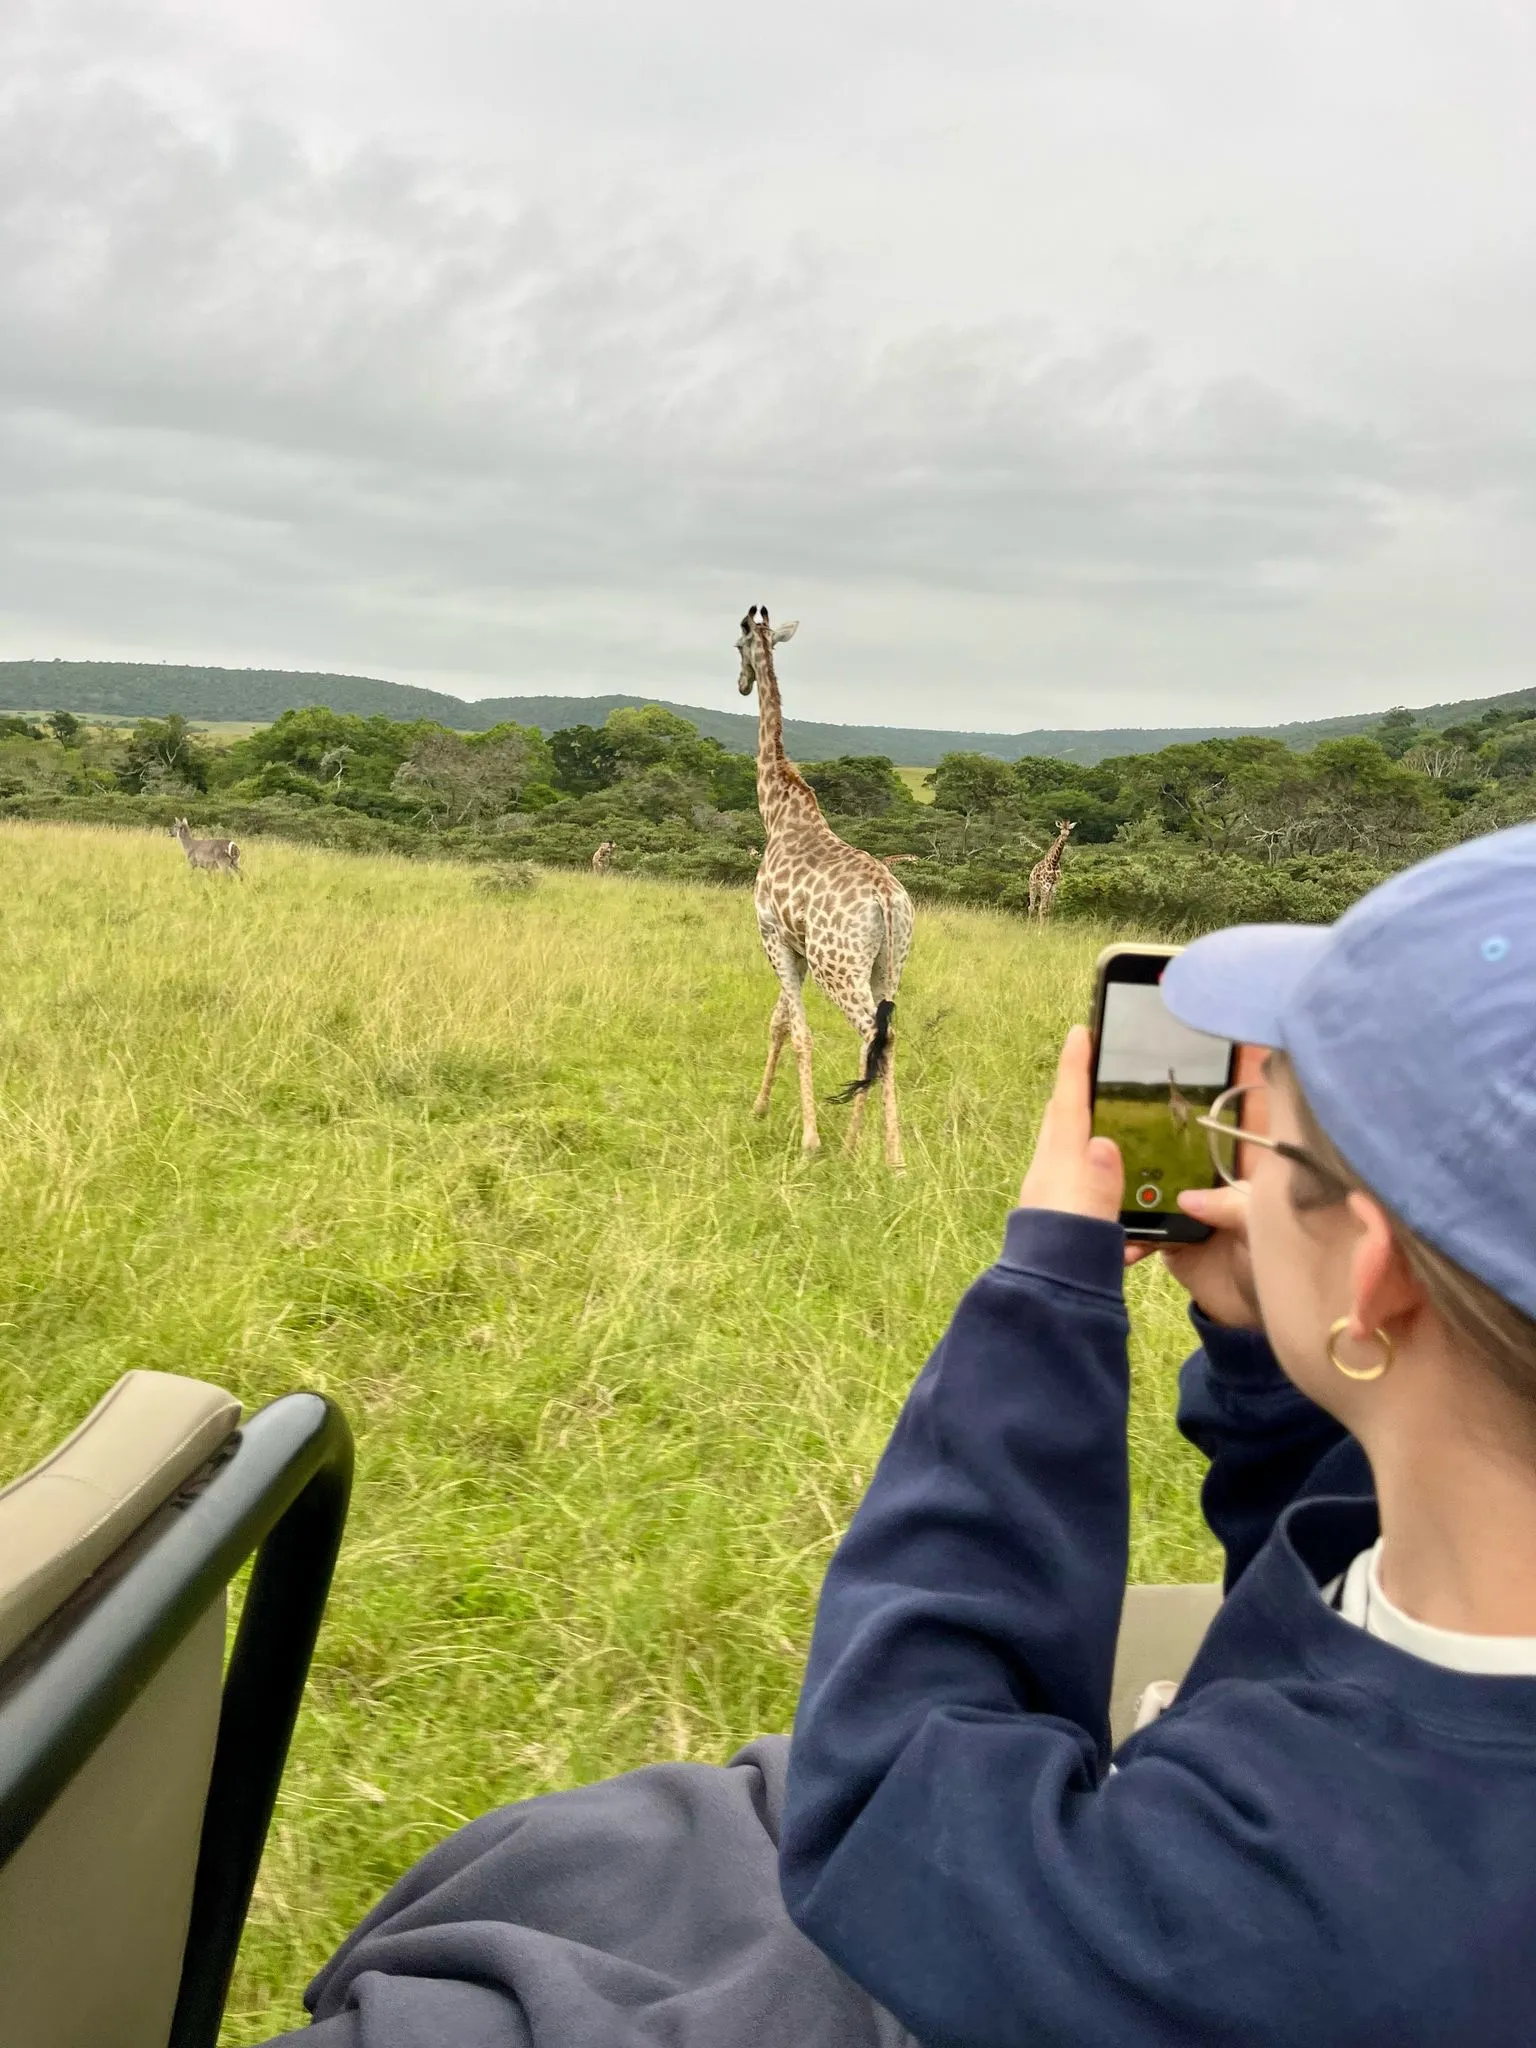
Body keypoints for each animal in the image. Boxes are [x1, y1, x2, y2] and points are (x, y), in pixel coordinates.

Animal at [736, 605, 914, 1166]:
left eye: (736, 646)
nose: (742, 684)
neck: (777, 811)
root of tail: (886, 898)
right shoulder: (797, 947)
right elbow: (779, 1023)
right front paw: (759, 1109)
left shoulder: (773, 936)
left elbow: (798, 1033)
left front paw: (809, 1140)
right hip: (889, 966)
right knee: (882, 1038)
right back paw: (869, 1149)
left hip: (840, 965)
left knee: (873, 1034)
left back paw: (887, 1157)